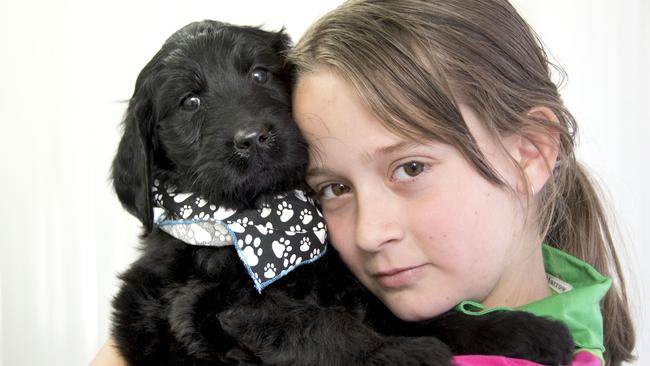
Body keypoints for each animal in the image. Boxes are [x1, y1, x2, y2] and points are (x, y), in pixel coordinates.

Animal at [111, 20, 572, 366]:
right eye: (190, 102)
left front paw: (520, 329)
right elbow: (319, 324)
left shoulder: (362, 290)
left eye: (260, 73)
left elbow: (429, 317)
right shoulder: (222, 305)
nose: (254, 137)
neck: (268, 220)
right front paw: (396, 355)